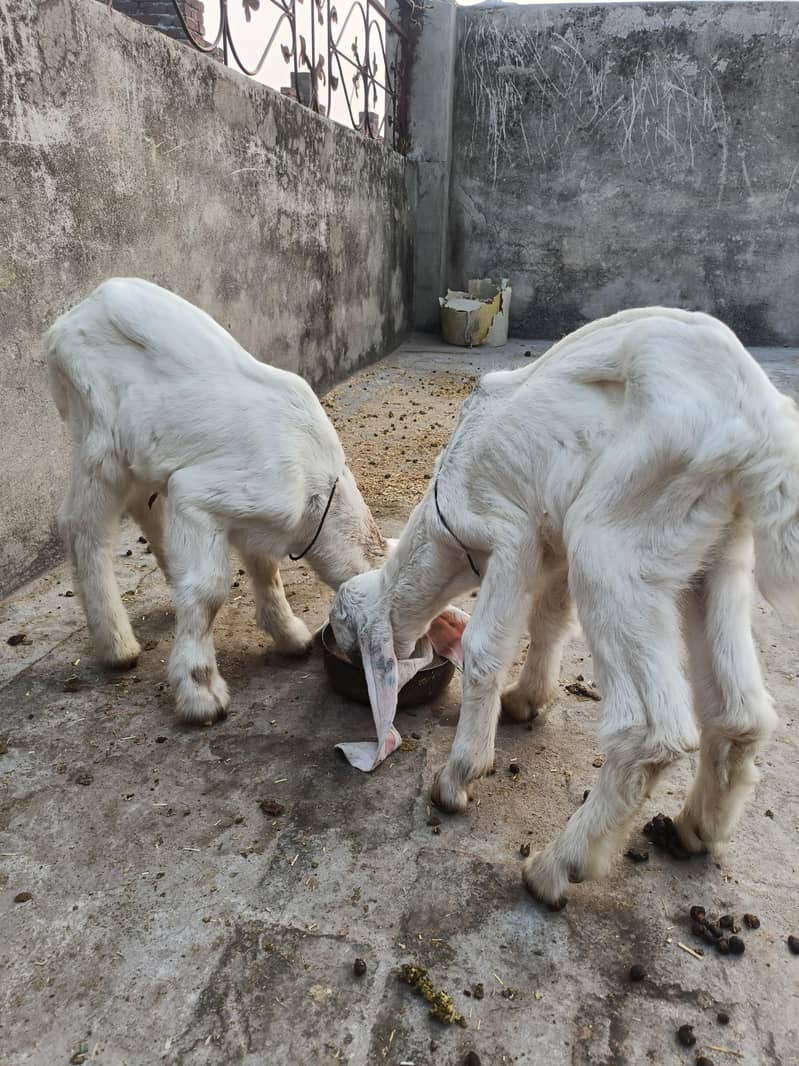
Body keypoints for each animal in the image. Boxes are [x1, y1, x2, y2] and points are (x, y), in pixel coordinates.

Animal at [47, 278, 388, 724]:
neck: (318, 493)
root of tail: (69, 319)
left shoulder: (254, 518)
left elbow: (266, 570)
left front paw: (289, 635)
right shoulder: (201, 495)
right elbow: (209, 591)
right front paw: (201, 690)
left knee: (144, 505)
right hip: (98, 434)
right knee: (82, 526)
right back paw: (117, 645)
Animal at [330, 307, 799, 907]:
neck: (442, 528)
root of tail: (762, 425)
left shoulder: (512, 536)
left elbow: (486, 649)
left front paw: (459, 777)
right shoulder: (550, 545)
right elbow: (549, 619)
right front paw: (527, 700)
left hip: (615, 537)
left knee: (653, 732)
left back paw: (555, 868)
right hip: (718, 549)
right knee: (740, 712)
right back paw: (696, 829)